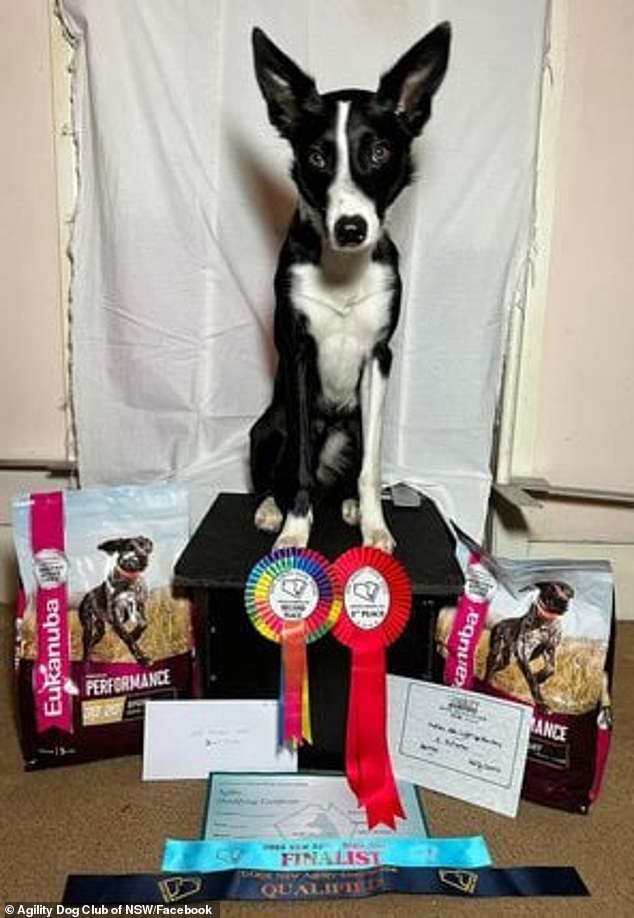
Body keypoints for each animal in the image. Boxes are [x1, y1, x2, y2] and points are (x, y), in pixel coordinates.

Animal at [78, 536, 154, 664]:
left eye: (144, 546)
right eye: (129, 547)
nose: (144, 558)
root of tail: (85, 597)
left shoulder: (139, 606)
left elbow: (144, 624)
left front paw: (135, 634)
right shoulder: (115, 618)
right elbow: (128, 638)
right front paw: (143, 659)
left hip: (100, 629)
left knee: (92, 644)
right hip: (88, 627)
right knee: (86, 646)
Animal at [247, 23, 450, 552]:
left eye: (378, 152)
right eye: (318, 156)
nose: (352, 228)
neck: (342, 267)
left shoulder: (379, 357)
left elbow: (370, 468)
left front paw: (375, 526)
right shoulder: (298, 352)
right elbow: (297, 463)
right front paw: (295, 530)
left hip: (351, 425)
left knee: (349, 470)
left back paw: (350, 504)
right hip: (268, 425)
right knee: (279, 471)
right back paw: (272, 507)